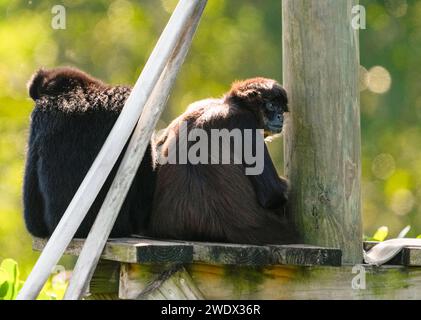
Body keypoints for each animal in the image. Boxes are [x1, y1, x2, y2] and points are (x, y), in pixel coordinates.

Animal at [149, 78, 296, 245]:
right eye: (271, 105)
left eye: (281, 108)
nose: (280, 117)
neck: (229, 104)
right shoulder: (245, 122)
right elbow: (272, 194)